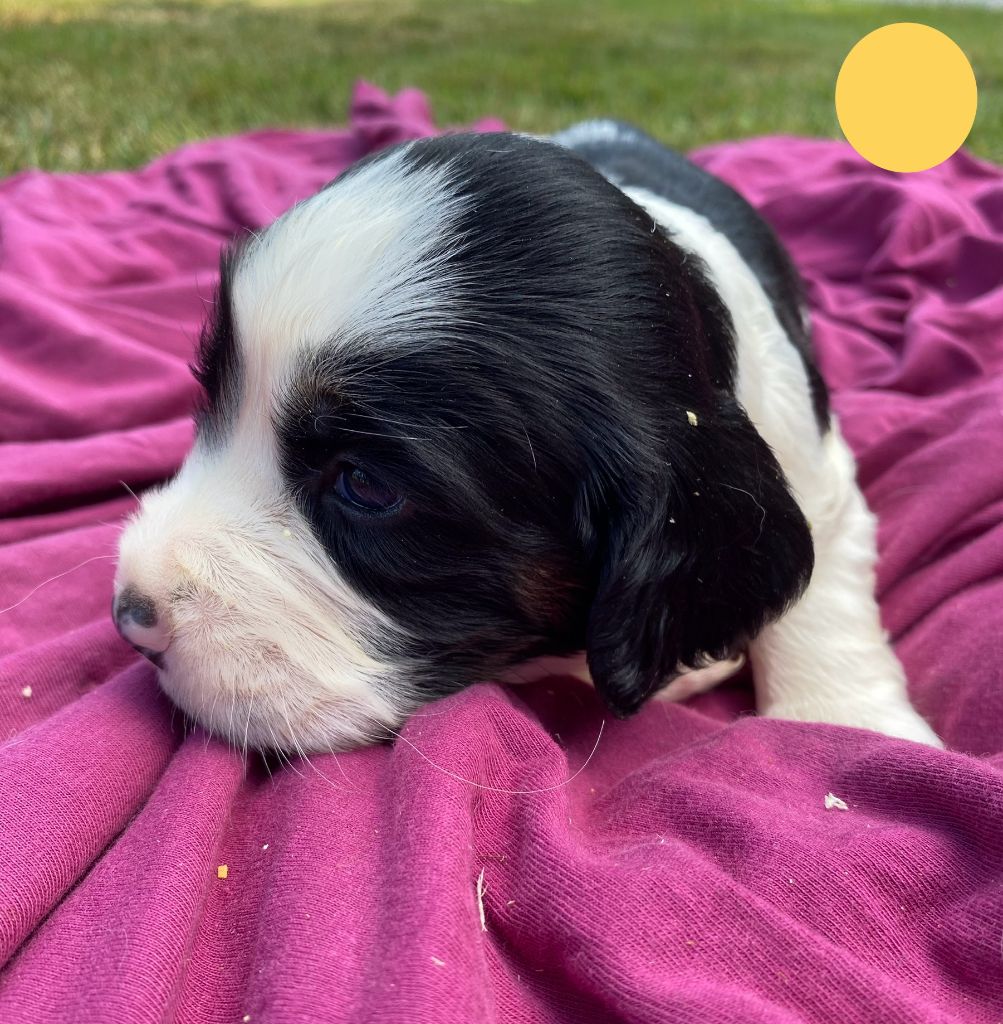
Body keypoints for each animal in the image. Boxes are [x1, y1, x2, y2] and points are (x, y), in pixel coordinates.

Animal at [113, 123, 946, 757]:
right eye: (210, 399)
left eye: (365, 486)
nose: (130, 616)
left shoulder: (815, 466)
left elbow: (821, 587)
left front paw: (844, 723)